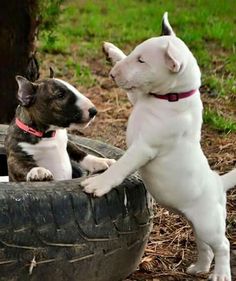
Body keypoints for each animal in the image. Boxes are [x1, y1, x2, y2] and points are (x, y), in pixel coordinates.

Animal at [81, 12, 236, 278]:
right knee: (205, 246)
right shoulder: (136, 98)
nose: (112, 75)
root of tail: (219, 182)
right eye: (135, 52)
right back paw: (199, 267)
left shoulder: (145, 147)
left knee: (223, 245)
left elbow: (121, 166)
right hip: (197, 224)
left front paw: (98, 184)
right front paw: (112, 50)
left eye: (142, 60)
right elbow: (131, 87)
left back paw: (220, 274)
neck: (170, 97)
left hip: (209, 222)